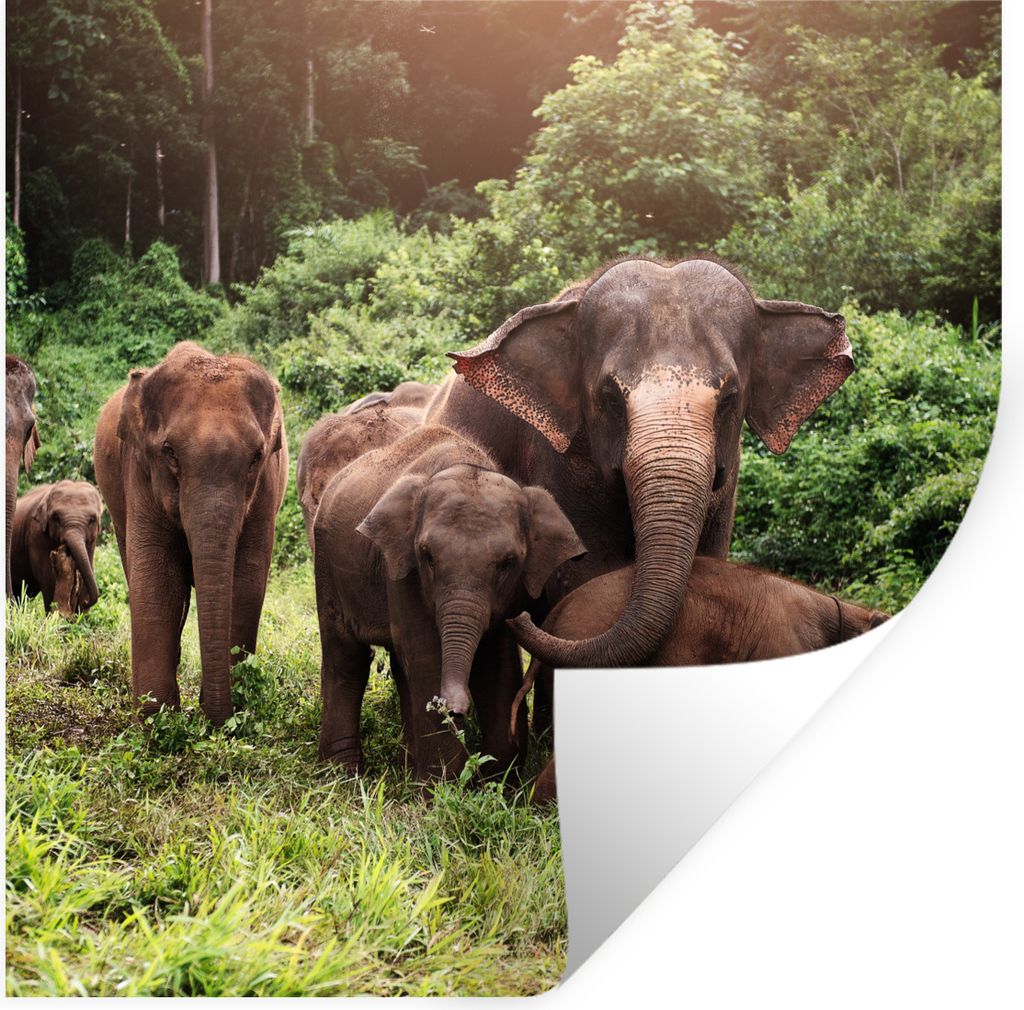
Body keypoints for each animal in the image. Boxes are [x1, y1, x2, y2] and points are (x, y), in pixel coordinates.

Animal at [10, 480, 103, 617]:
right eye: (56, 517)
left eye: (92, 519)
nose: (86, 603)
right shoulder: (36, 533)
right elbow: (49, 578)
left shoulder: (92, 540)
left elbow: (88, 567)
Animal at [93, 342, 288, 725]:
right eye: (169, 453)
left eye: (256, 456)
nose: (216, 719)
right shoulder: (140, 471)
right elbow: (158, 581)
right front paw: (157, 720)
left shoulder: (266, 485)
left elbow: (246, 580)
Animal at [313, 423, 584, 781]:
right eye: (427, 556)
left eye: (508, 563)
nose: (455, 709)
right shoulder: (401, 569)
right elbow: (427, 656)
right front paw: (440, 786)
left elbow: (496, 661)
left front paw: (495, 780)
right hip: (327, 566)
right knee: (346, 657)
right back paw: (343, 775)